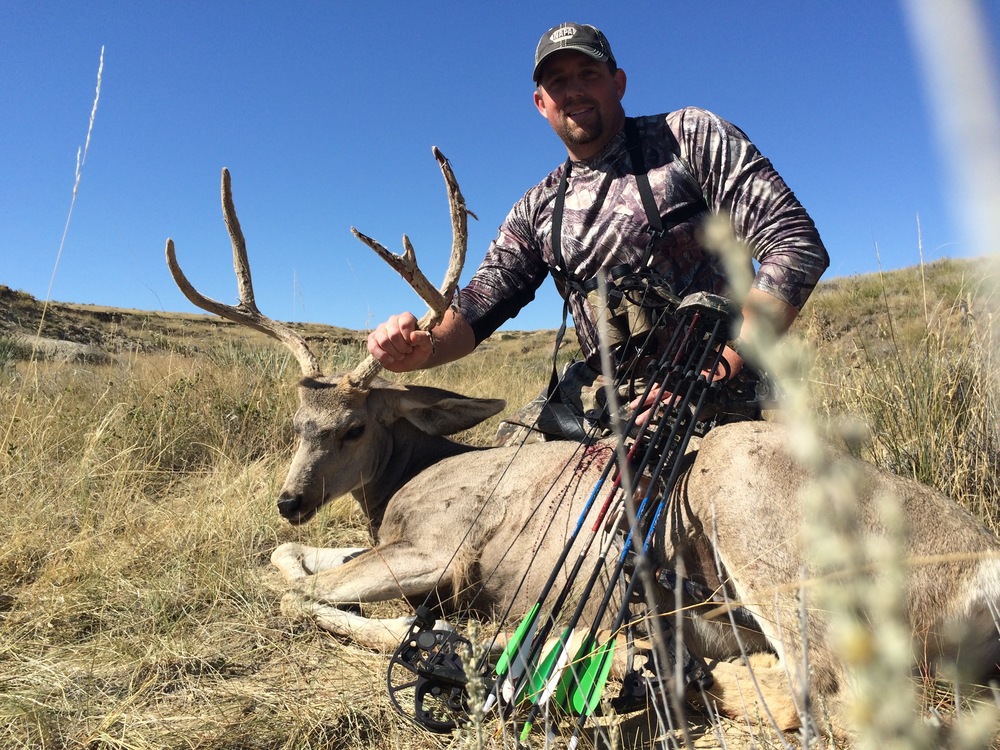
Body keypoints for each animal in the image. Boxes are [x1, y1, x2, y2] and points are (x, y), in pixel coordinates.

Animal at [168, 156, 1000, 736]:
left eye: (354, 426)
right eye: (295, 425)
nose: (291, 498)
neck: (413, 475)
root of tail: (980, 572)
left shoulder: (439, 548)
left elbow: (300, 593)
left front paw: (434, 634)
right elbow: (290, 561)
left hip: (769, 530)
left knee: (836, 698)